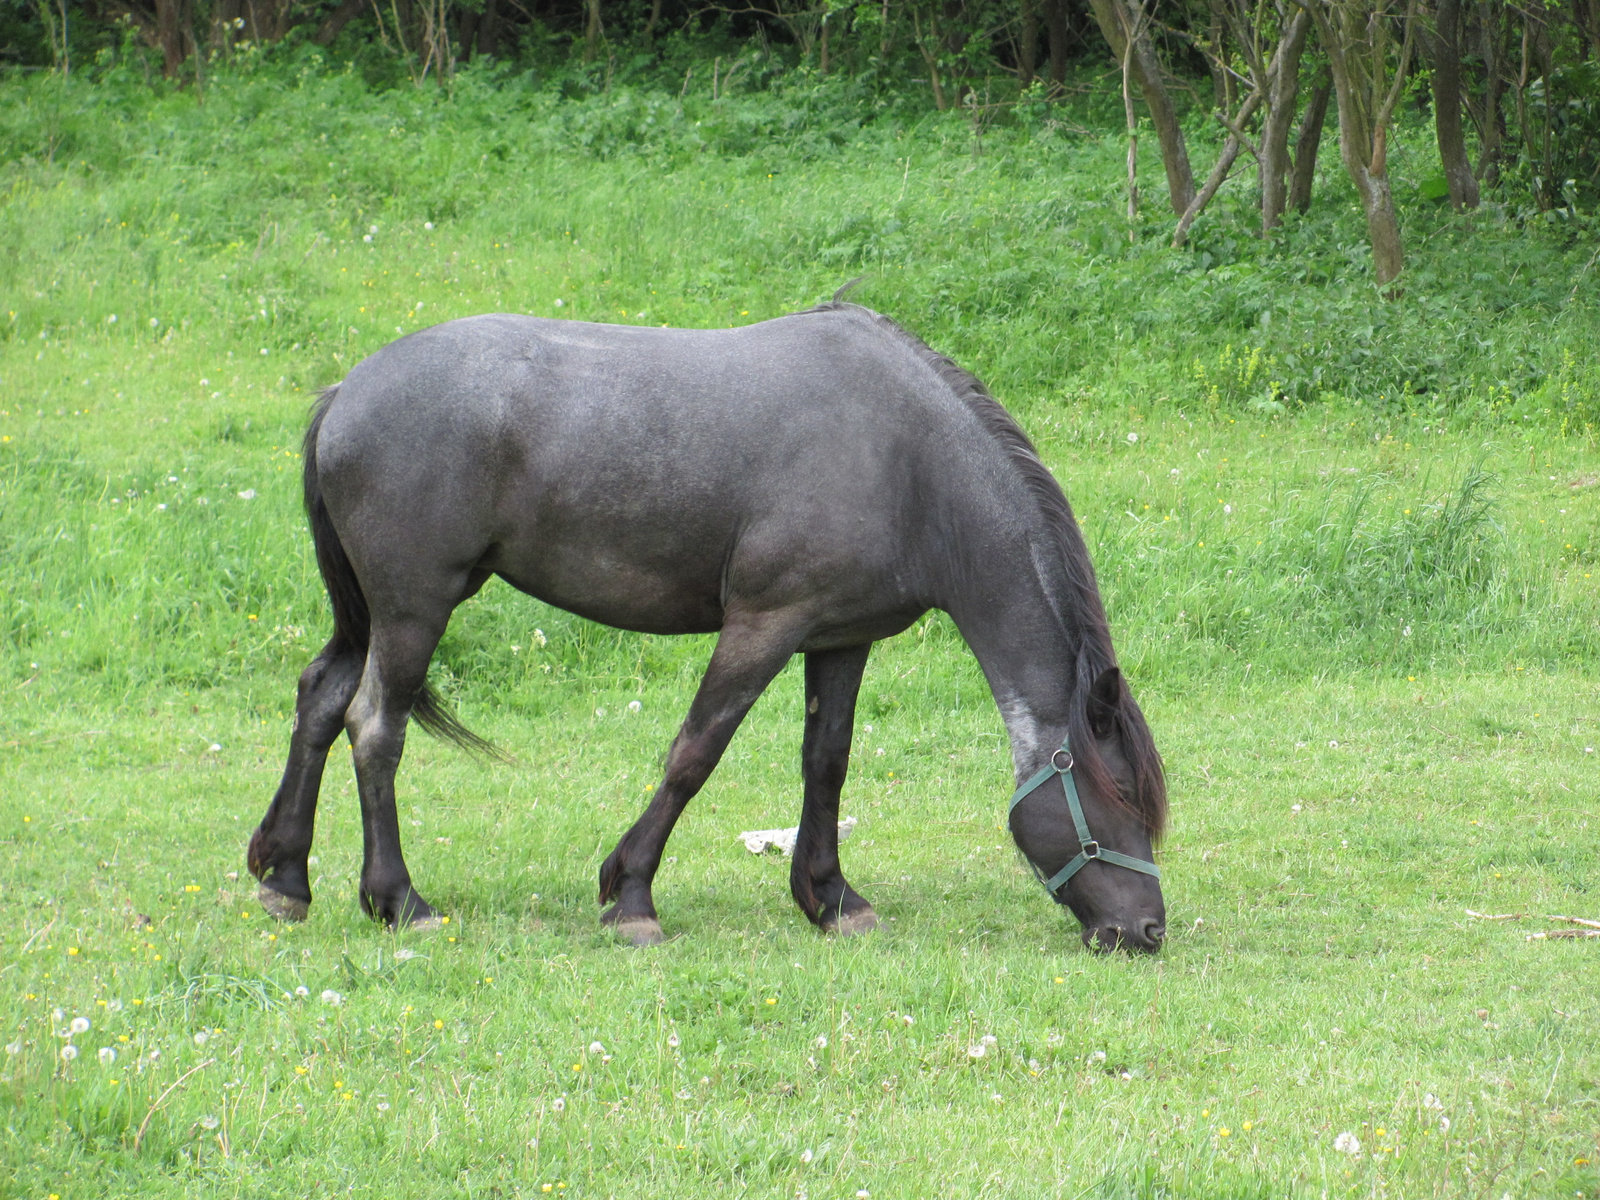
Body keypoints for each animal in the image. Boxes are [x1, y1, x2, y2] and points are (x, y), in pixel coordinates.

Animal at [252, 296, 1177, 953]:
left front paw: (831, 898)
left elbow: (826, 764)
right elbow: (695, 753)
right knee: (375, 727)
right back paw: (398, 899)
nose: (1146, 930)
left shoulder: (839, 638)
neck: (910, 465)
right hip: (416, 607)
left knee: (321, 700)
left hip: (374, 613)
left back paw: (285, 877)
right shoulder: (765, 625)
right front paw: (630, 896)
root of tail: (345, 394)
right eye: (1119, 796)